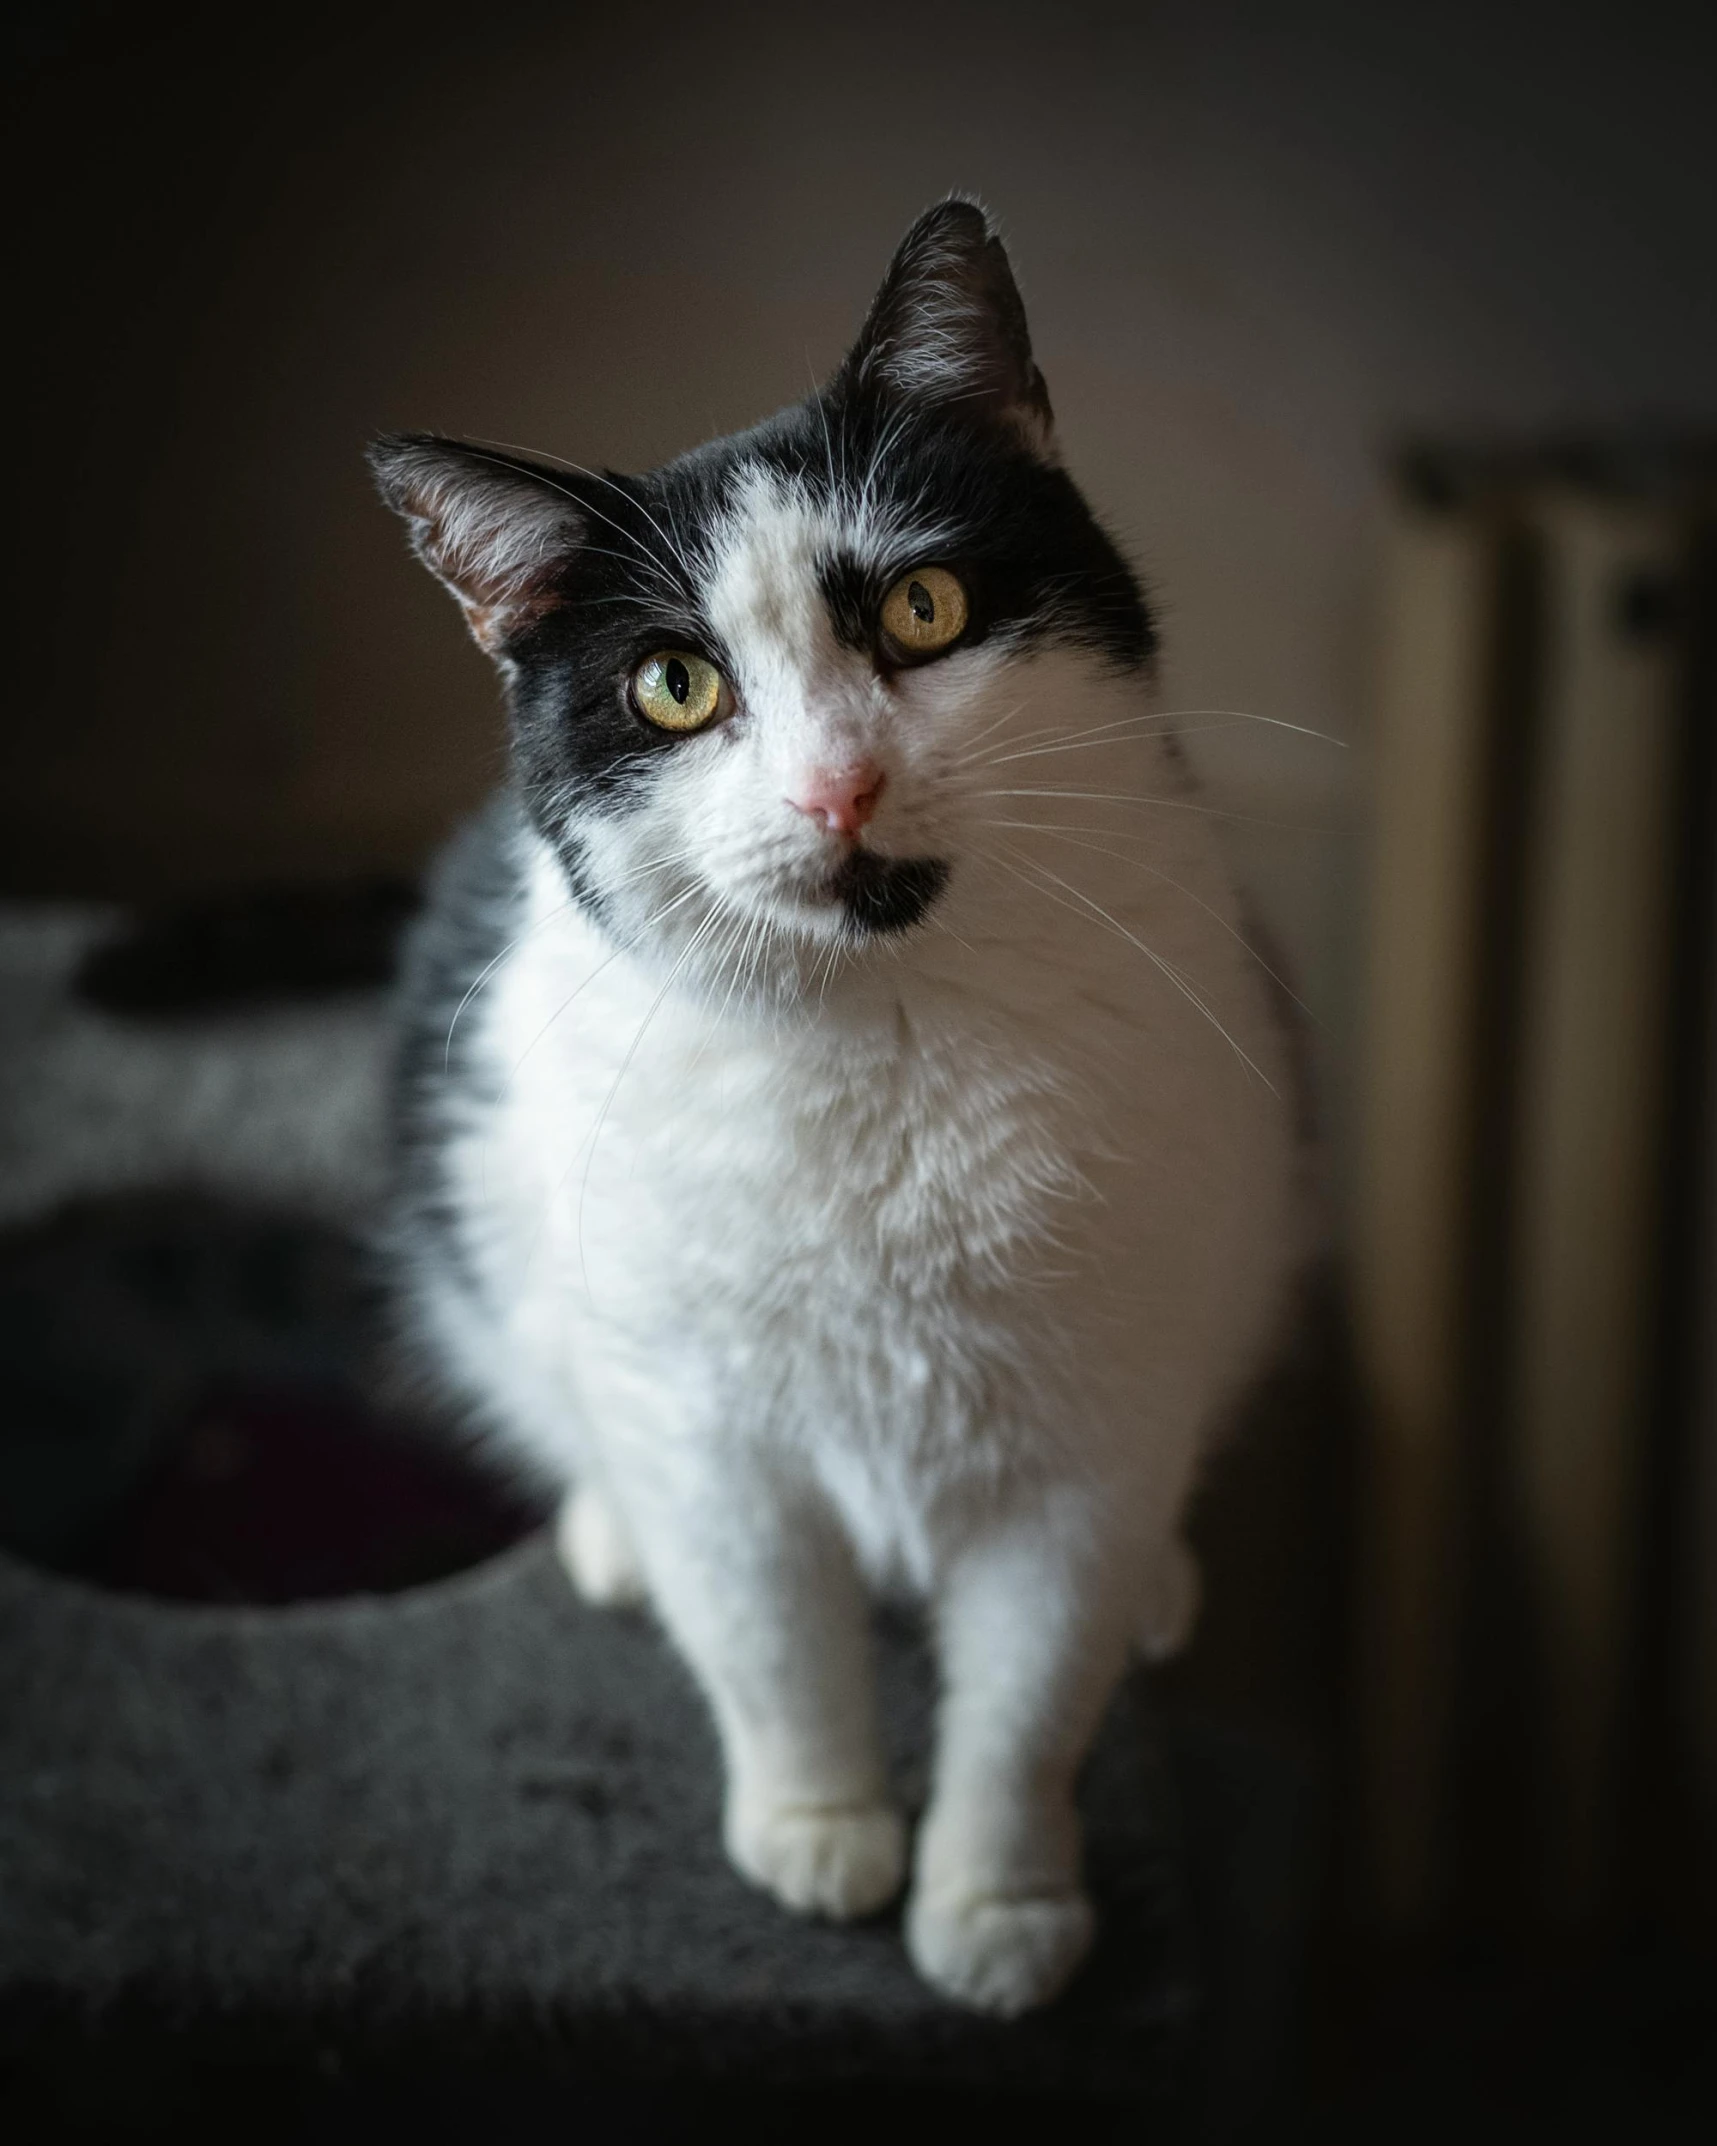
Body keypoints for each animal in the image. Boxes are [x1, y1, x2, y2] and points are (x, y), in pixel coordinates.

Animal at [369, 197, 1296, 2008]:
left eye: (923, 606)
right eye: (673, 686)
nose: (836, 787)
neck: (889, 1049)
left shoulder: (1086, 1447)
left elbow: (1032, 1696)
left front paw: (998, 1905)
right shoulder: (706, 1432)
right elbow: (769, 1640)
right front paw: (818, 1830)